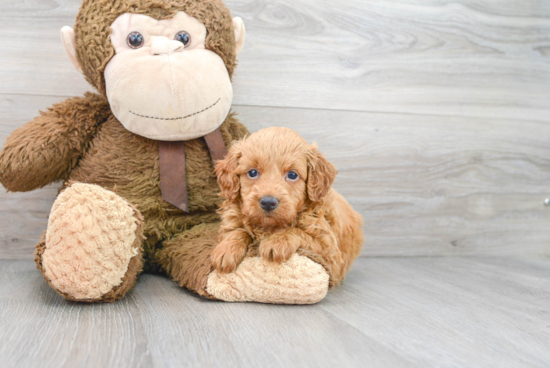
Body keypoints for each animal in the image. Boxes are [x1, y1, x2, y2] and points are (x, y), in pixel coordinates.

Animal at [213, 128, 364, 286]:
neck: (268, 226)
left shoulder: (330, 253)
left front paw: (276, 241)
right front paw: (226, 250)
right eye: (252, 172)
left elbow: (297, 231)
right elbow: (238, 231)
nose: (268, 202)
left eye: (292, 175)